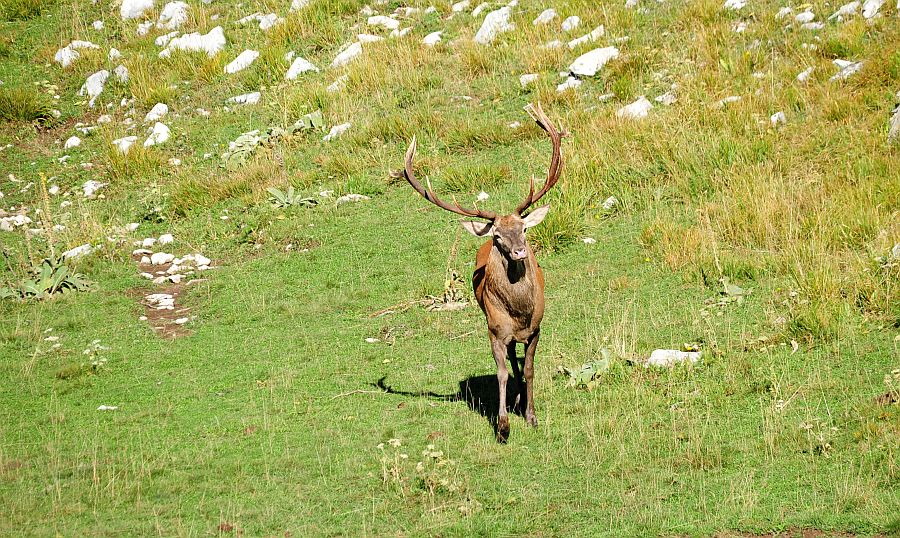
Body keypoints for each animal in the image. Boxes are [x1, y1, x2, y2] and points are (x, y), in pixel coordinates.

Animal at [400, 102, 564, 442]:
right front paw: (502, 425)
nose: (519, 251)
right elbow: (501, 373)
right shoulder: (494, 329)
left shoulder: (537, 328)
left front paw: (531, 416)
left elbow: (530, 368)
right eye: (498, 236)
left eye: (524, 229)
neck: (520, 313)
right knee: (510, 360)